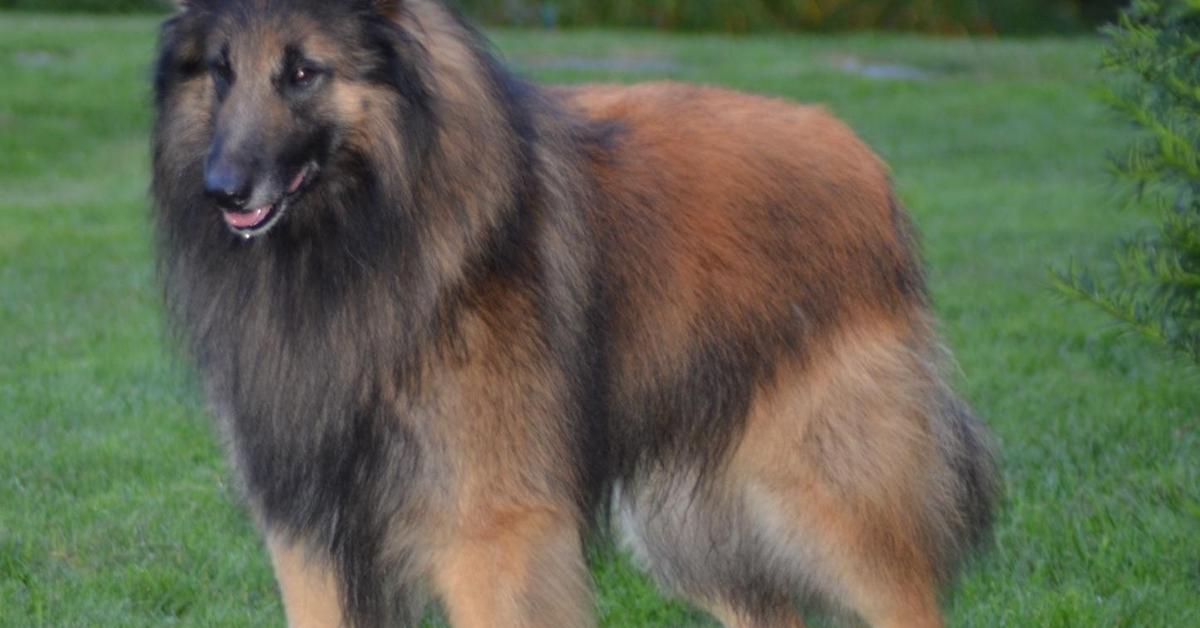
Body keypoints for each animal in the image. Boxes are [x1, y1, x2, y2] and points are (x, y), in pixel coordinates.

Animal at [150, 2, 998, 624]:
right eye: (220, 71)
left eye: (302, 72)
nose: (221, 189)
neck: (368, 235)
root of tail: (864, 162)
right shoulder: (310, 539)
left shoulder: (487, 535)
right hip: (688, 518)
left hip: (829, 496)